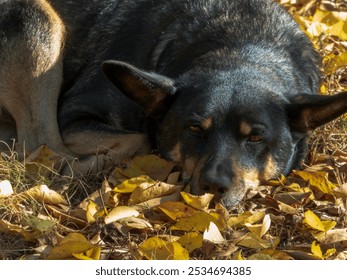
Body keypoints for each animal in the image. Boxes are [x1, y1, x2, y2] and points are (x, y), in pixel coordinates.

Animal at [0, 0, 347, 206]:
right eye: (193, 128)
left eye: (256, 138)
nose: (213, 186)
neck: (243, 46)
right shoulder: (74, 113)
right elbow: (141, 138)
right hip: (39, 18)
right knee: (39, 149)